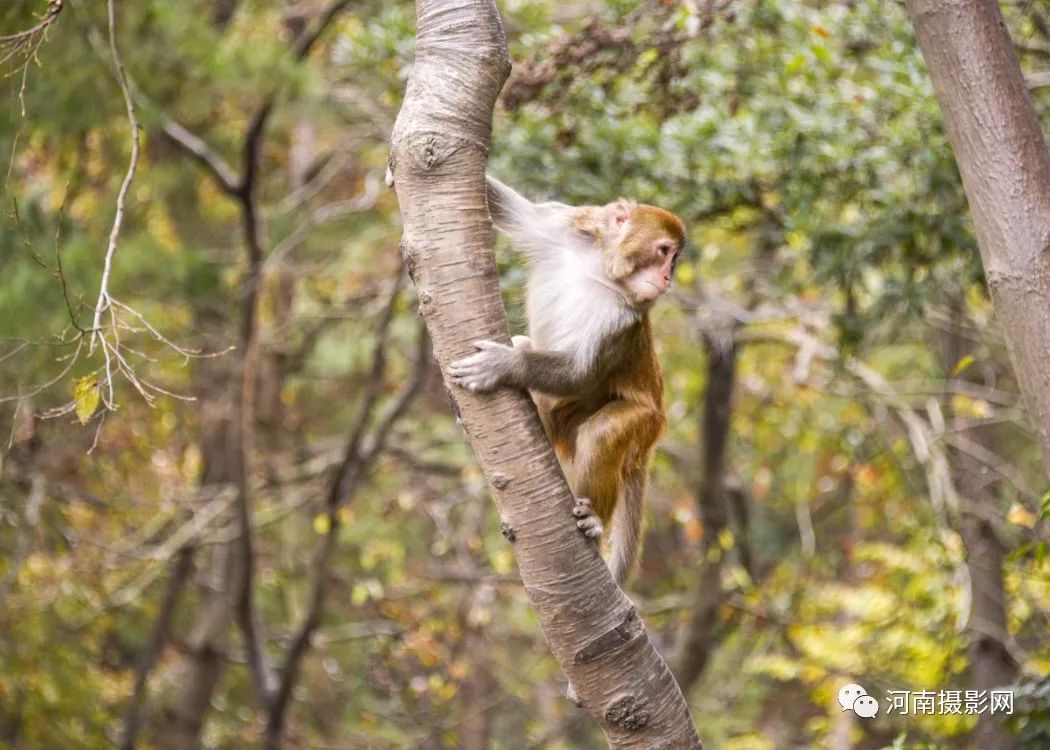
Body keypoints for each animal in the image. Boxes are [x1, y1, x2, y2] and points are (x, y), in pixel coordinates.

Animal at [447, 173, 684, 584]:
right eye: (664, 250)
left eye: (674, 257)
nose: (668, 276)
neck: (601, 271)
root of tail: (655, 433)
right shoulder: (561, 229)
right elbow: (507, 209)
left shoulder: (620, 323)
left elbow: (578, 372)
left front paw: (505, 364)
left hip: (646, 421)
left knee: (602, 431)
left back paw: (593, 522)